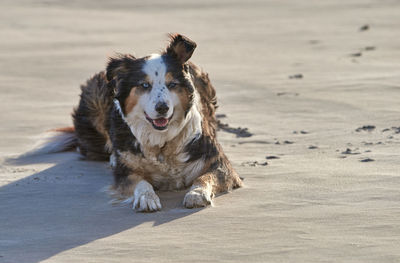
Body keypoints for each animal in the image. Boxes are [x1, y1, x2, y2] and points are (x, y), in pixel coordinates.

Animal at [39, 33, 242, 212]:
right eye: (144, 85)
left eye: (172, 84)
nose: (162, 108)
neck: (161, 143)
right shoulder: (125, 173)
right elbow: (140, 182)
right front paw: (147, 198)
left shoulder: (218, 163)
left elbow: (204, 177)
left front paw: (197, 193)